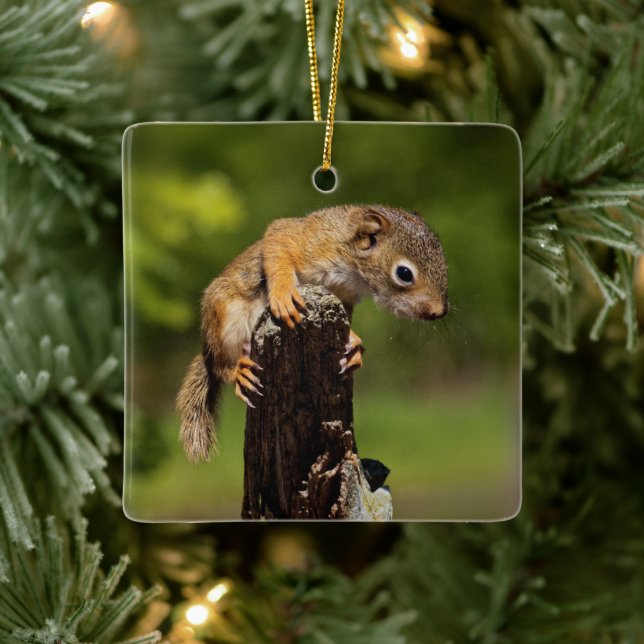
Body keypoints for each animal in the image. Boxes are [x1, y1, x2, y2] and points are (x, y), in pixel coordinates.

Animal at [177, 204, 448, 463]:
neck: (353, 268)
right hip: (224, 317)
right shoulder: (309, 238)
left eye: (444, 265)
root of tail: (207, 348)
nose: (439, 311)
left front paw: (354, 344)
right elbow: (279, 241)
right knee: (220, 364)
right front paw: (284, 293)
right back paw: (237, 370)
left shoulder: (343, 295)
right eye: (404, 273)